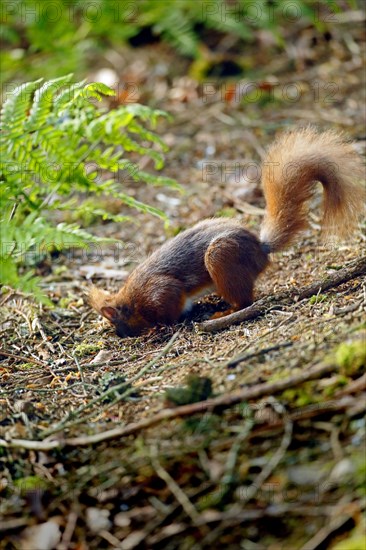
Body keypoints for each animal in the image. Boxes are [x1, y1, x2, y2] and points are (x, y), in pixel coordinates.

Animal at [90, 127, 364, 338]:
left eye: (122, 327)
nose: (120, 336)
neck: (133, 299)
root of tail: (260, 249)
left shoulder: (159, 292)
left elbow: (170, 307)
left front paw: (157, 328)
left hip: (222, 257)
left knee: (245, 300)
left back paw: (226, 311)